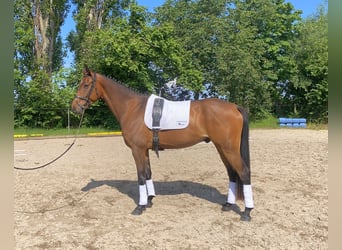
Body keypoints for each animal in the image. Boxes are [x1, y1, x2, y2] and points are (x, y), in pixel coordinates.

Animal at [71, 66, 254, 221]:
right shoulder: (144, 150)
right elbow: (148, 173)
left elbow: (140, 176)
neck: (132, 107)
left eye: (86, 85)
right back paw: (228, 205)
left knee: (243, 173)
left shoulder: (137, 150)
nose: (75, 107)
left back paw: (247, 212)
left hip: (229, 149)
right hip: (221, 148)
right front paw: (150, 200)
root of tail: (234, 106)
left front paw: (140, 206)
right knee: (232, 173)